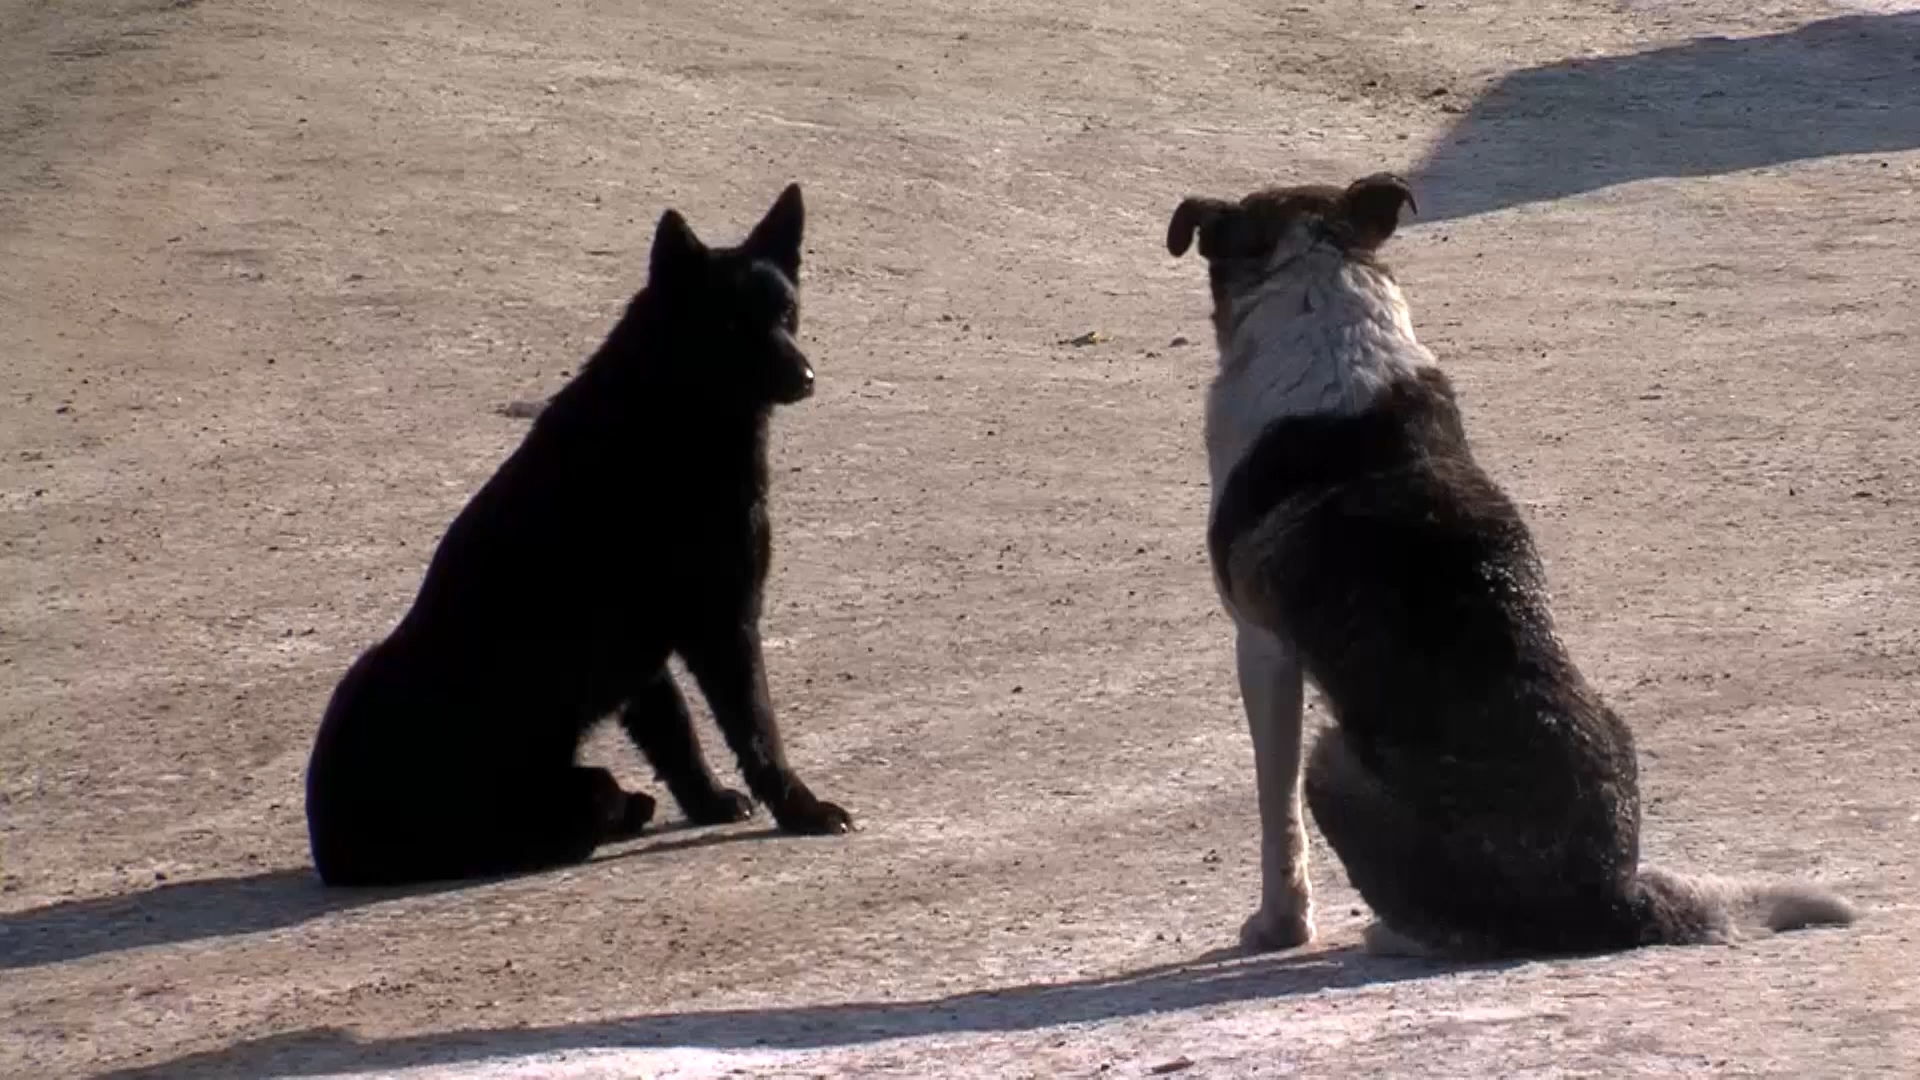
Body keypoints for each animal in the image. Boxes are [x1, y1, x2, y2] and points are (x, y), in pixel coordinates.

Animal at [309, 182, 856, 883]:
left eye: (788, 311)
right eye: (733, 325)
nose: (806, 377)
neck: (674, 406)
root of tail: (333, 849)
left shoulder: (648, 657)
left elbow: (677, 735)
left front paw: (707, 801)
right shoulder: (724, 627)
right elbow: (757, 733)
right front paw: (800, 809)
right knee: (581, 808)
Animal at [1159, 171, 1850, 953]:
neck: (1318, 288)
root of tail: (1610, 899)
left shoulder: (1263, 648)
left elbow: (1275, 816)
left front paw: (1280, 925)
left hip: (1332, 763)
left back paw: (1390, 935)